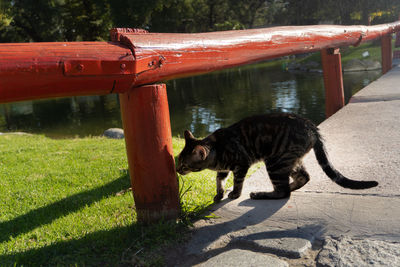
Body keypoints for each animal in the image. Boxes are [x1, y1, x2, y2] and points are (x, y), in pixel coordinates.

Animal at [177, 113, 378, 203]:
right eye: (178, 161)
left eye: (184, 165)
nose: (177, 170)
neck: (217, 150)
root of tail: (311, 126)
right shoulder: (224, 169)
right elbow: (219, 180)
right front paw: (219, 194)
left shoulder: (241, 164)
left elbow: (237, 182)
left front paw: (234, 194)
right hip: (288, 160)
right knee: (303, 178)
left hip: (274, 162)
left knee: (283, 192)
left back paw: (260, 194)